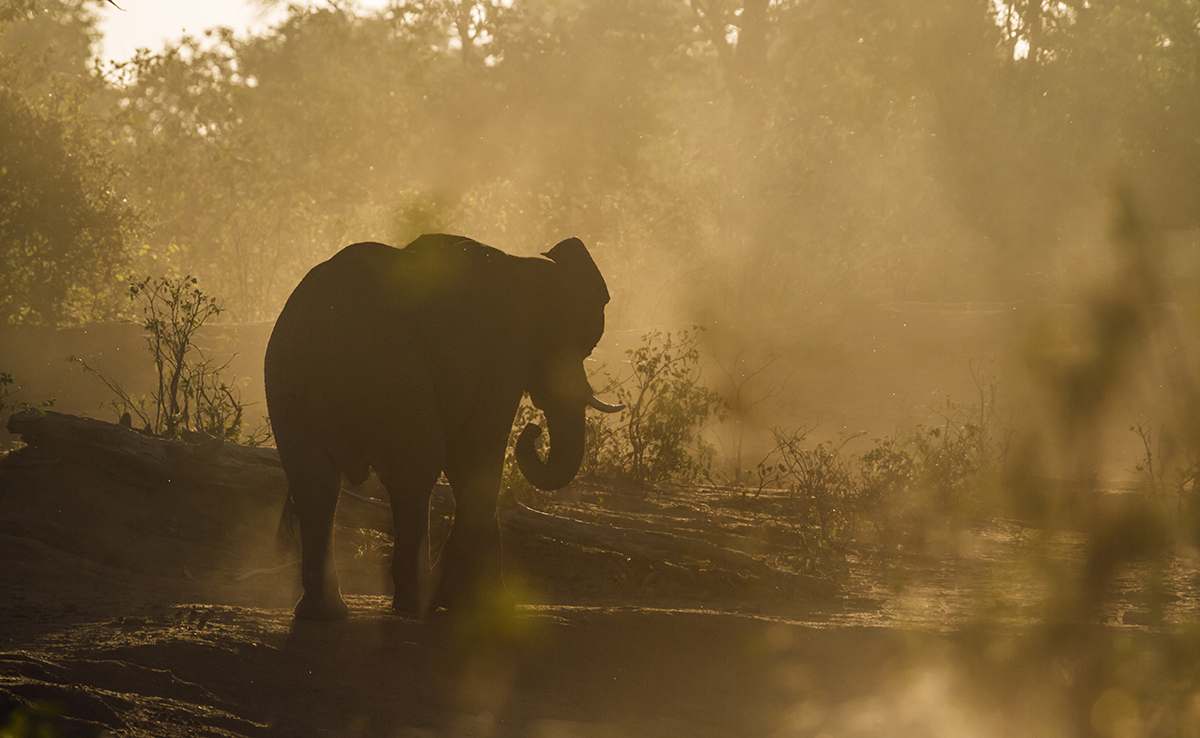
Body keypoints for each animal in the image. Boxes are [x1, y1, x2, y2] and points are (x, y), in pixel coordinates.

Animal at [262, 234, 619, 619]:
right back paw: (415, 604)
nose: (535, 432)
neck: (529, 269)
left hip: (289, 386)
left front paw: (487, 601)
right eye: (585, 348)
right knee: (415, 471)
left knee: (314, 482)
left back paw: (325, 612)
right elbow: (475, 453)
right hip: (394, 379)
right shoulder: (503, 356)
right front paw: (471, 601)